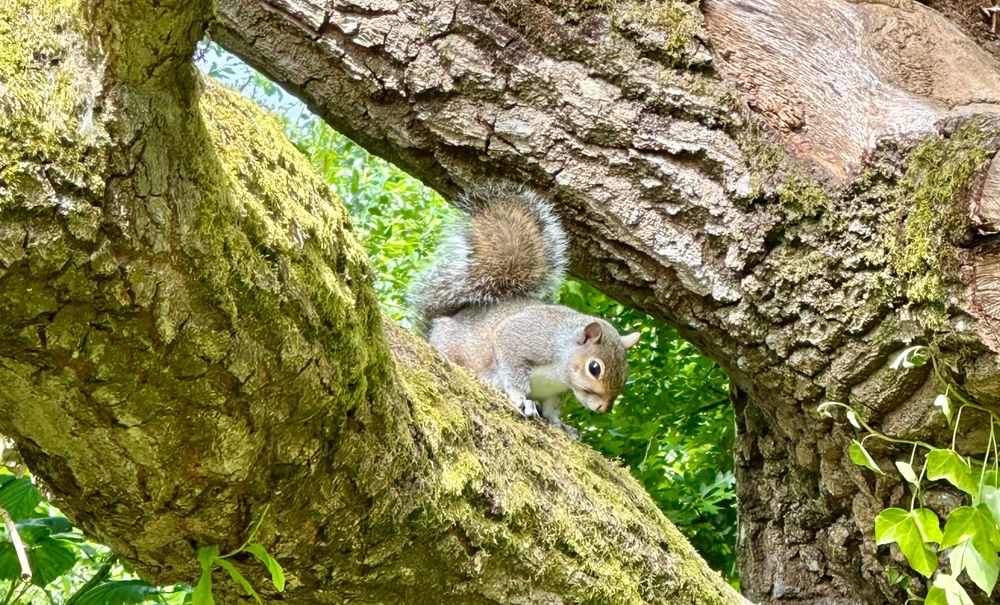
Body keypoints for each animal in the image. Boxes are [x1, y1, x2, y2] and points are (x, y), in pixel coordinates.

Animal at [409, 183, 640, 437]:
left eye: (626, 371)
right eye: (594, 368)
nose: (603, 408)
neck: (561, 357)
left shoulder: (554, 391)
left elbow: (551, 409)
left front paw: (560, 424)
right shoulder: (520, 339)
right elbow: (514, 376)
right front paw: (522, 400)